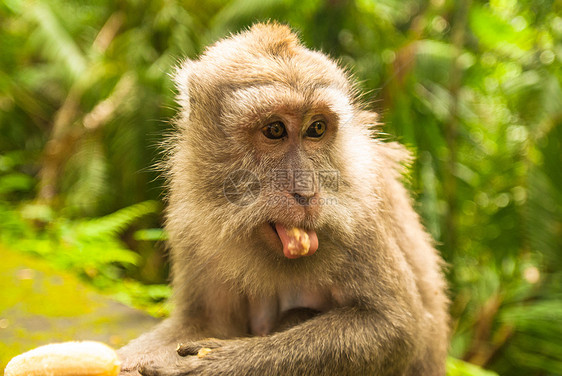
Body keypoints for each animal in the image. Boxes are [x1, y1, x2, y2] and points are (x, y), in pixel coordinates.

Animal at [117, 22, 446, 374]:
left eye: (316, 128)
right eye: (274, 130)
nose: (306, 191)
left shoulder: (361, 214)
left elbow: (394, 326)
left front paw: (213, 365)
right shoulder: (189, 222)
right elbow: (204, 321)